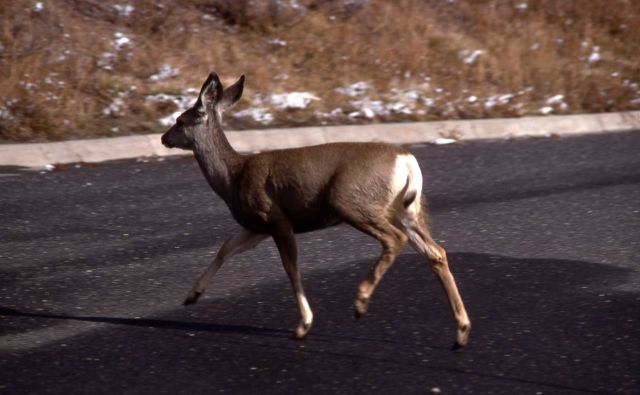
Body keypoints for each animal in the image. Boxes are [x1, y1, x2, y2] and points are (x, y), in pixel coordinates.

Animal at [160, 72, 470, 350]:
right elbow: (225, 248)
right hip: (404, 210)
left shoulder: (275, 217)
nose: (164, 138)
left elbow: (290, 267)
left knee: (395, 239)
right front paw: (192, 295)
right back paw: (461, 331)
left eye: (180, 120)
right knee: (435, 252)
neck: (233, 178)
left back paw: (361, 301)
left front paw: (303, 324)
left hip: (351, 201)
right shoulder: (256, 226)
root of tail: (407, 162)